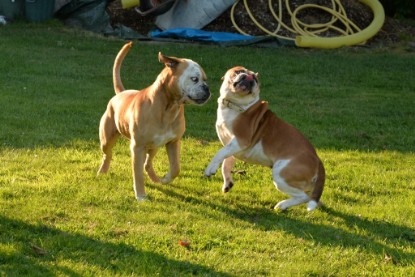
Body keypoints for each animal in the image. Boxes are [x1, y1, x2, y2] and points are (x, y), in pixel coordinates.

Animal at [98, 41, 211, 201]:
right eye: (194, 79)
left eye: (205, 79)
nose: (207, 89)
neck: (169, 107)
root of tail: (121, 93)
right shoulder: (137, 147)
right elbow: (137, 174)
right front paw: (141, 196)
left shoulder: (173, 142)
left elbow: (176, 168)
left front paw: (165, 179)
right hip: (107, 140)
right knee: (107, 156)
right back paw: (102, 172)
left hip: (154, 146)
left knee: (147, 163)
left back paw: (155, 179)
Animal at [205, 66, 324, 210]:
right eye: (238, 71)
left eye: (256, 79)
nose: (249, 76)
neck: (234, 105)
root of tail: (317, 159)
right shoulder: (231, 146)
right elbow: (225, 163)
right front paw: (227, 182)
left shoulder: (239, 141)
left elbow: (219, 153)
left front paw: (210, 169)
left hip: (281, 175)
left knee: (303, 197)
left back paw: (282, 205)